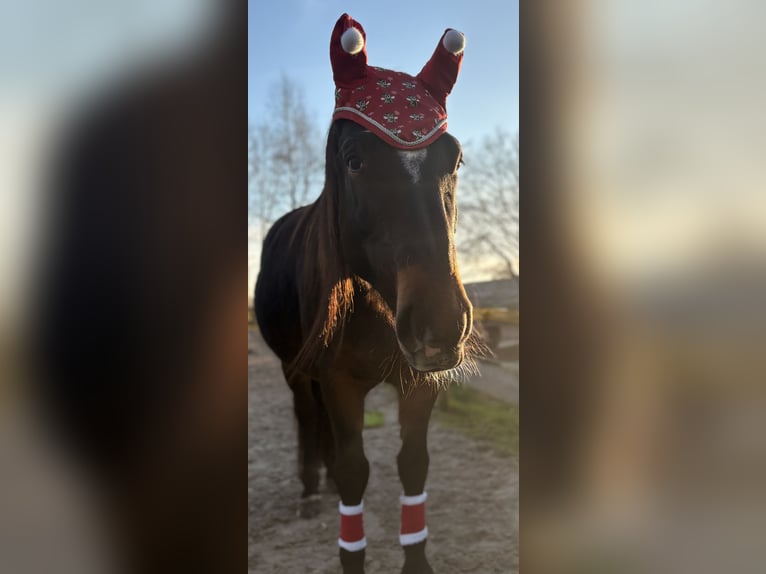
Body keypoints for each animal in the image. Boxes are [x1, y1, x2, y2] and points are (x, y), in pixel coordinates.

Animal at [254, 14, 483, 574]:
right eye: (354, 160)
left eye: (456, 159)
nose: (441, 322)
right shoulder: (337, 381)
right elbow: (354, 469)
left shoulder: (419, 385)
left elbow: (413, 465)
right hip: (295, 370)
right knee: (307, 418)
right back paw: (311, 490)